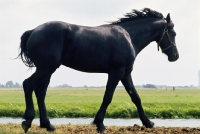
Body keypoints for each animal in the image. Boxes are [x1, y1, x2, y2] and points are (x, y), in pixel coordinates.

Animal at [18, 8, 178, 133]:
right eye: (174, 33)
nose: (175, 56)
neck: (129, 36)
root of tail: (33, 31)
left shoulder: (126, 74)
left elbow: (135, 97)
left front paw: (148, 123)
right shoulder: (116, 72)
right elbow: (108, 97)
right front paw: (100, 124)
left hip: (47, 70)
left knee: (40, 92)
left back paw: (48, 125)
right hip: (46, 68)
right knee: (28, 85)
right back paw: (28, 121)